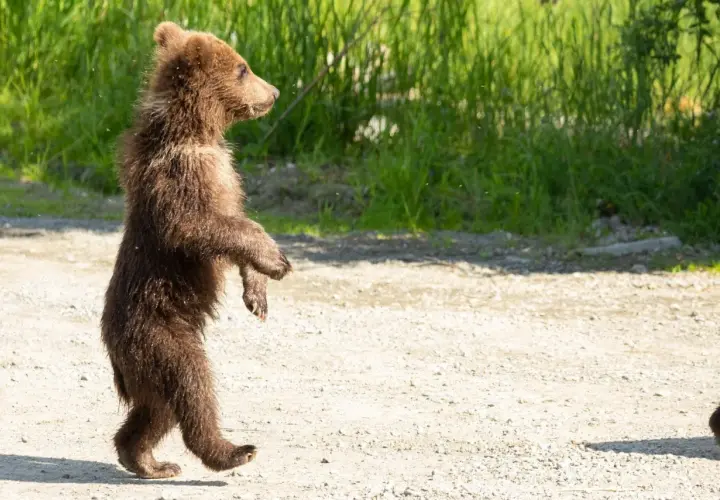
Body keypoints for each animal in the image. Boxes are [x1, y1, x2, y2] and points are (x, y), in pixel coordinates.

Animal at [100, 21, 292, 479]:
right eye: (243, 68)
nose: (275, 91)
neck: (192, 130)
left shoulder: (225, 179)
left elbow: (233, 225)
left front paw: (257, 296)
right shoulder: (180, 178)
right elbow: (202, 227)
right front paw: (276, 260)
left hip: (152, 352)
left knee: (157, 409)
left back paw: (148, 460)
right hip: (159, 333)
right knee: (191, 384)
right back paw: (233, 450)